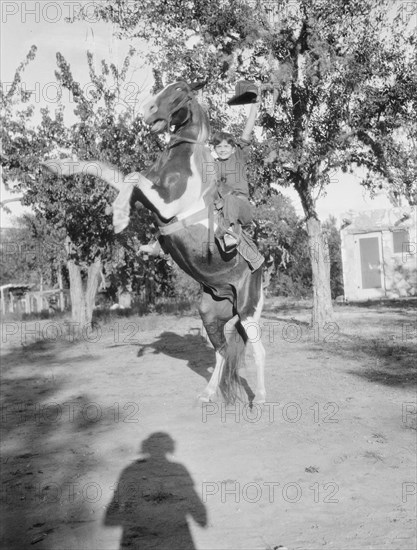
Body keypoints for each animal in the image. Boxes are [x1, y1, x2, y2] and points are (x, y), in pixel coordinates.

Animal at [42, 80, 264, 404]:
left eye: (180, 90)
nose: (147, 110)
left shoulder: (168, 206)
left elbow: (132, 176)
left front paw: (119, 218)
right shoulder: (148, 194)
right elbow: (107, 169)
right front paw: (57, 165)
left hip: (249, 312)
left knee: (259, 350)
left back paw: (259, 398)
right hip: (212, 313)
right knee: (223, 351)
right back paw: (208, 393)